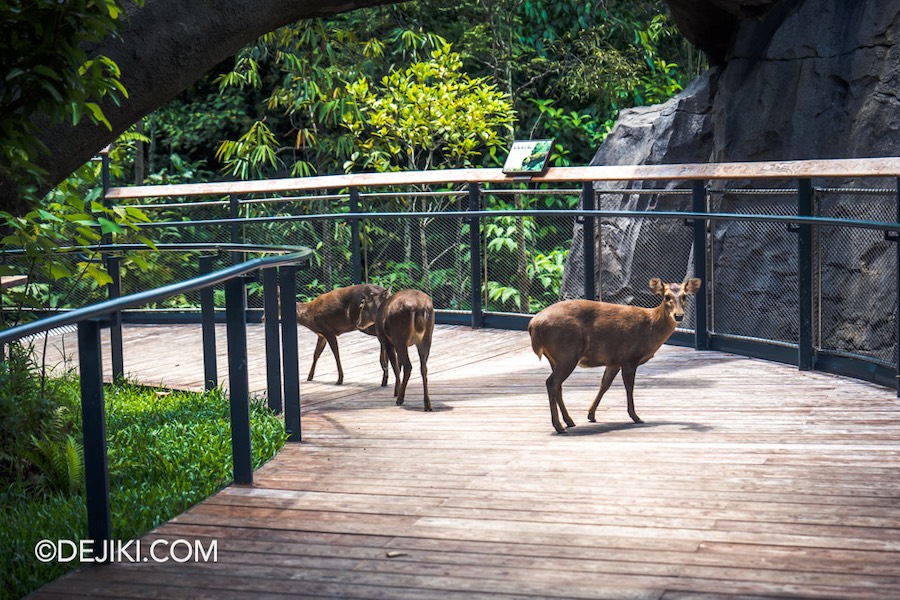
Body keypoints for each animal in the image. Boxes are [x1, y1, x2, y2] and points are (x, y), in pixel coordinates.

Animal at [528, 278, 704, 434]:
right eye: (666, 296)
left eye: (685, 296)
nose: (679, 315)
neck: (651, 328)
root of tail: (534, 325)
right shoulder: (629, 358)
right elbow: (629, 387)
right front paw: (635, 417)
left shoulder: (614, 360)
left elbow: (604, 384)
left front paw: (591, 415)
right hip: (567, 353)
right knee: (552, 383)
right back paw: (559, 426)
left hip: (556, 358)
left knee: (558, 386)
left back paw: (569, 421)